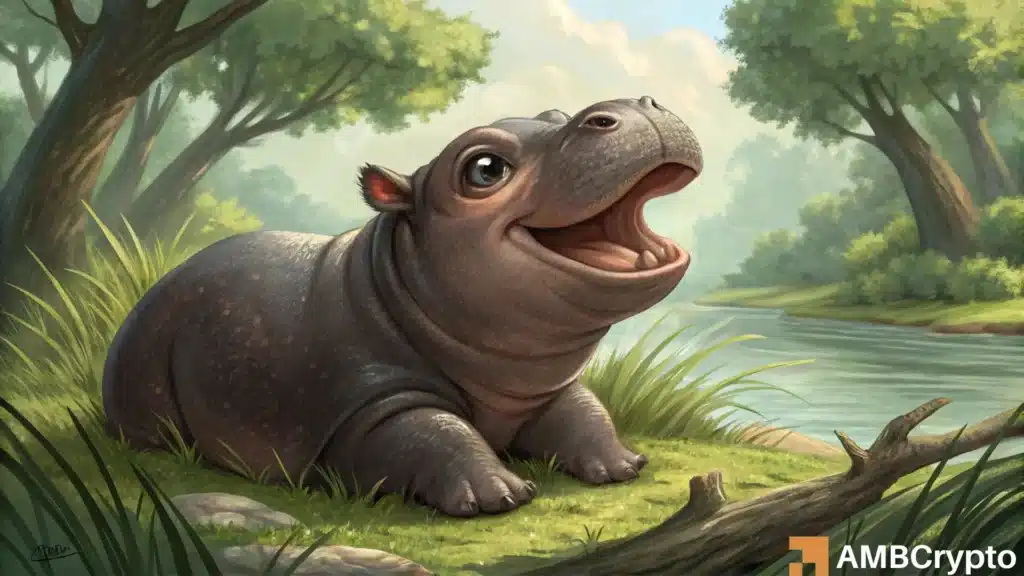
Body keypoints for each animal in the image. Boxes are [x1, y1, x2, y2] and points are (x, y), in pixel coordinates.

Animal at [102, 96, 703, 517]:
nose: (634, 105)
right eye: (486, 169)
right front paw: (499, 495)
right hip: (143, 365)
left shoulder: (541, 390)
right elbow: (432, 431)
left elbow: (584, 411)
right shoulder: (369, 402)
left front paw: (625, 464)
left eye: (555, 115)